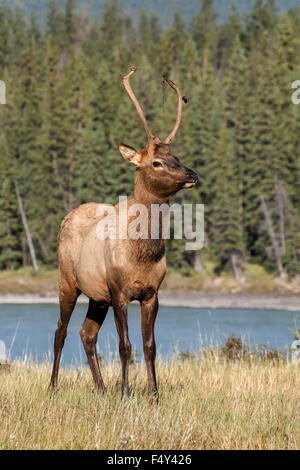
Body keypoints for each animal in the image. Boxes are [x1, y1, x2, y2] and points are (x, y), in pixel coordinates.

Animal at [50, 68, 198, 402]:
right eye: (156, 162)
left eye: (177, 157)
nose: (192, 174)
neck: (143, 252)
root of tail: (66, 217)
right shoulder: (119, 291)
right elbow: (125, 346)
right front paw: (126, 394)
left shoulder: (151, 294)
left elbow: (150, 346)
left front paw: (154, 396)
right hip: (68, 281)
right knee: (60, 331)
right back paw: (52, 387)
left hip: (97, 296)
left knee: (86, 333)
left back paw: (102, 388)